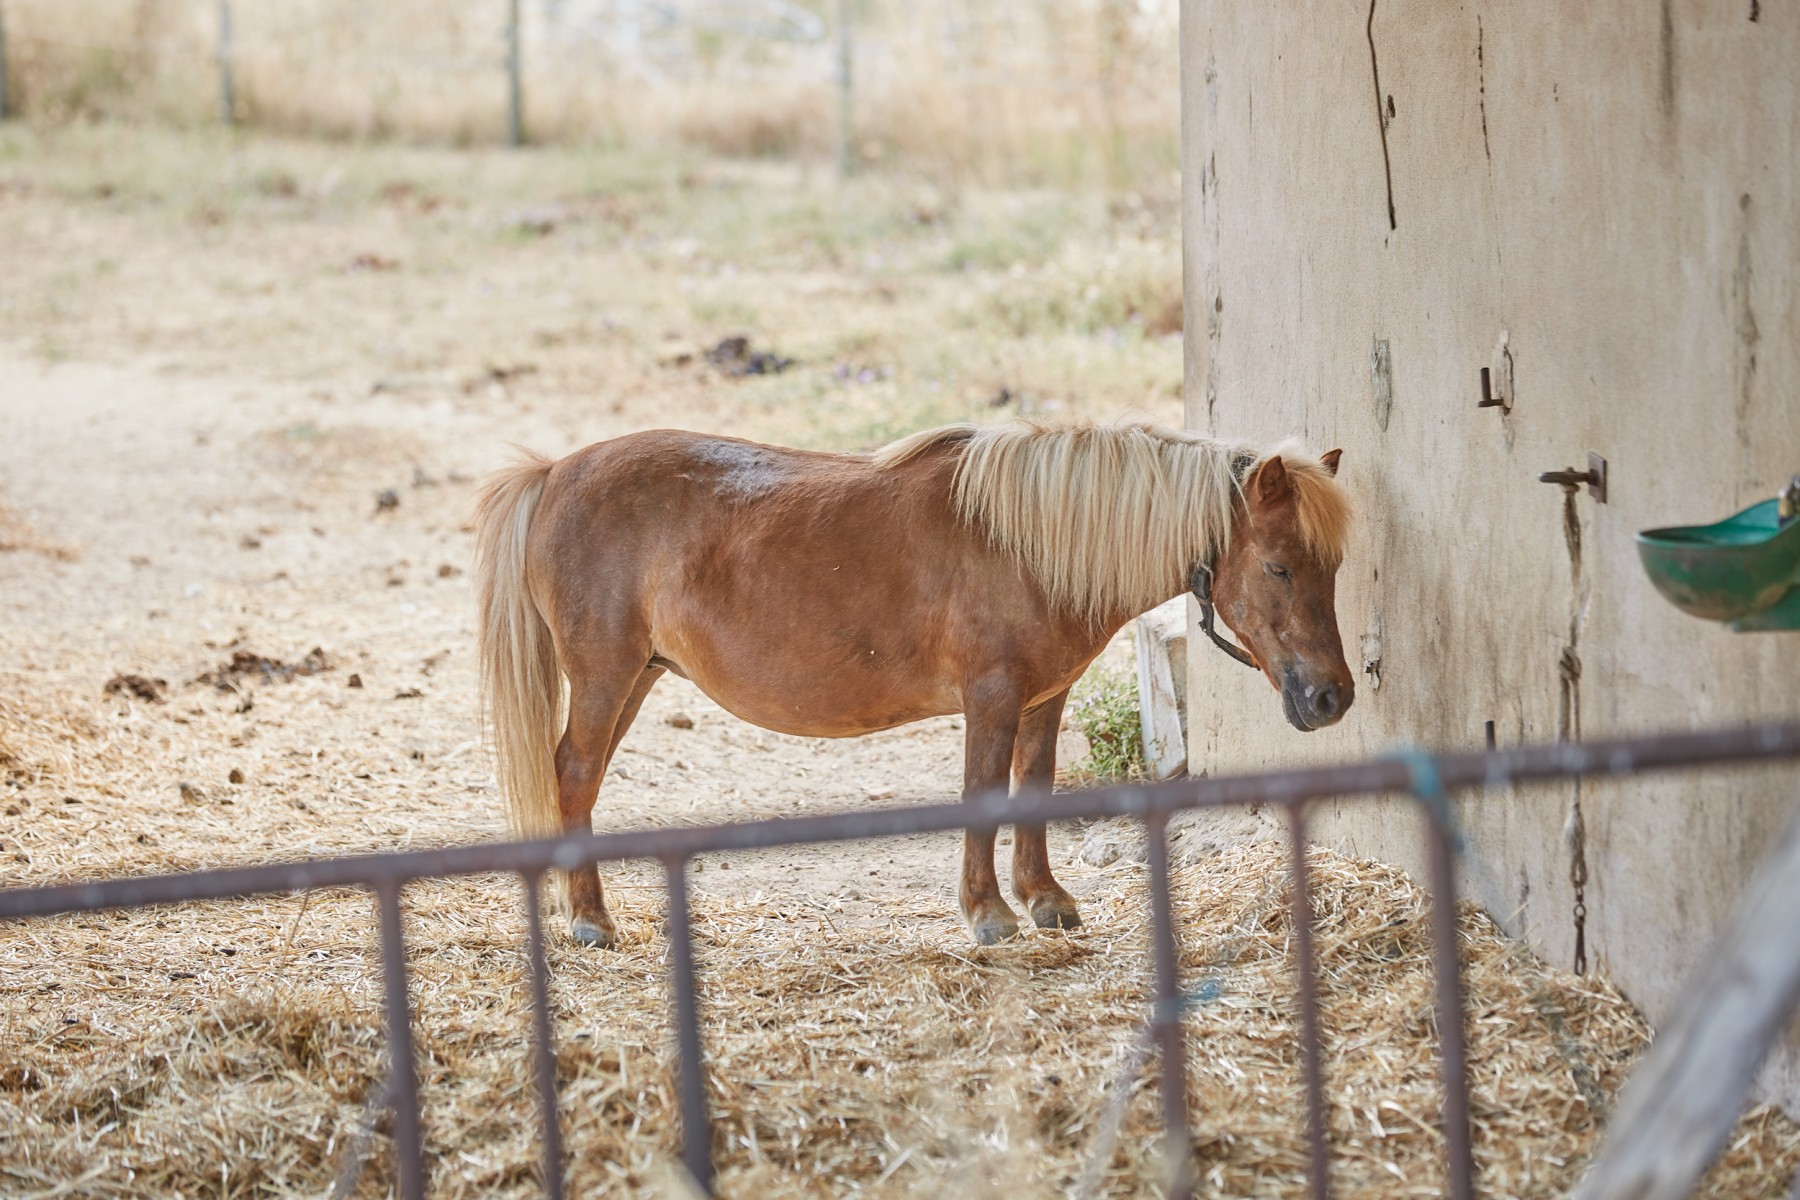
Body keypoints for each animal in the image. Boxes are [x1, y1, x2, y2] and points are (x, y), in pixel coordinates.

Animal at [478, 422, 1353, 949]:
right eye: (1279, 566)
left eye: (1334, 564)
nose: (1331, 697)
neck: (1025, 545)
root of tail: (555, 472)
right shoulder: (992, 698)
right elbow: (984, 795)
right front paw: (989, 913)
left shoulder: (1044, 700)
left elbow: (1034, 789)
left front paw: (1046, 900)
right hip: (606, 677)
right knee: (574, 773)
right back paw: (590, 919)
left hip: (634, 680)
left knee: (574, 778)